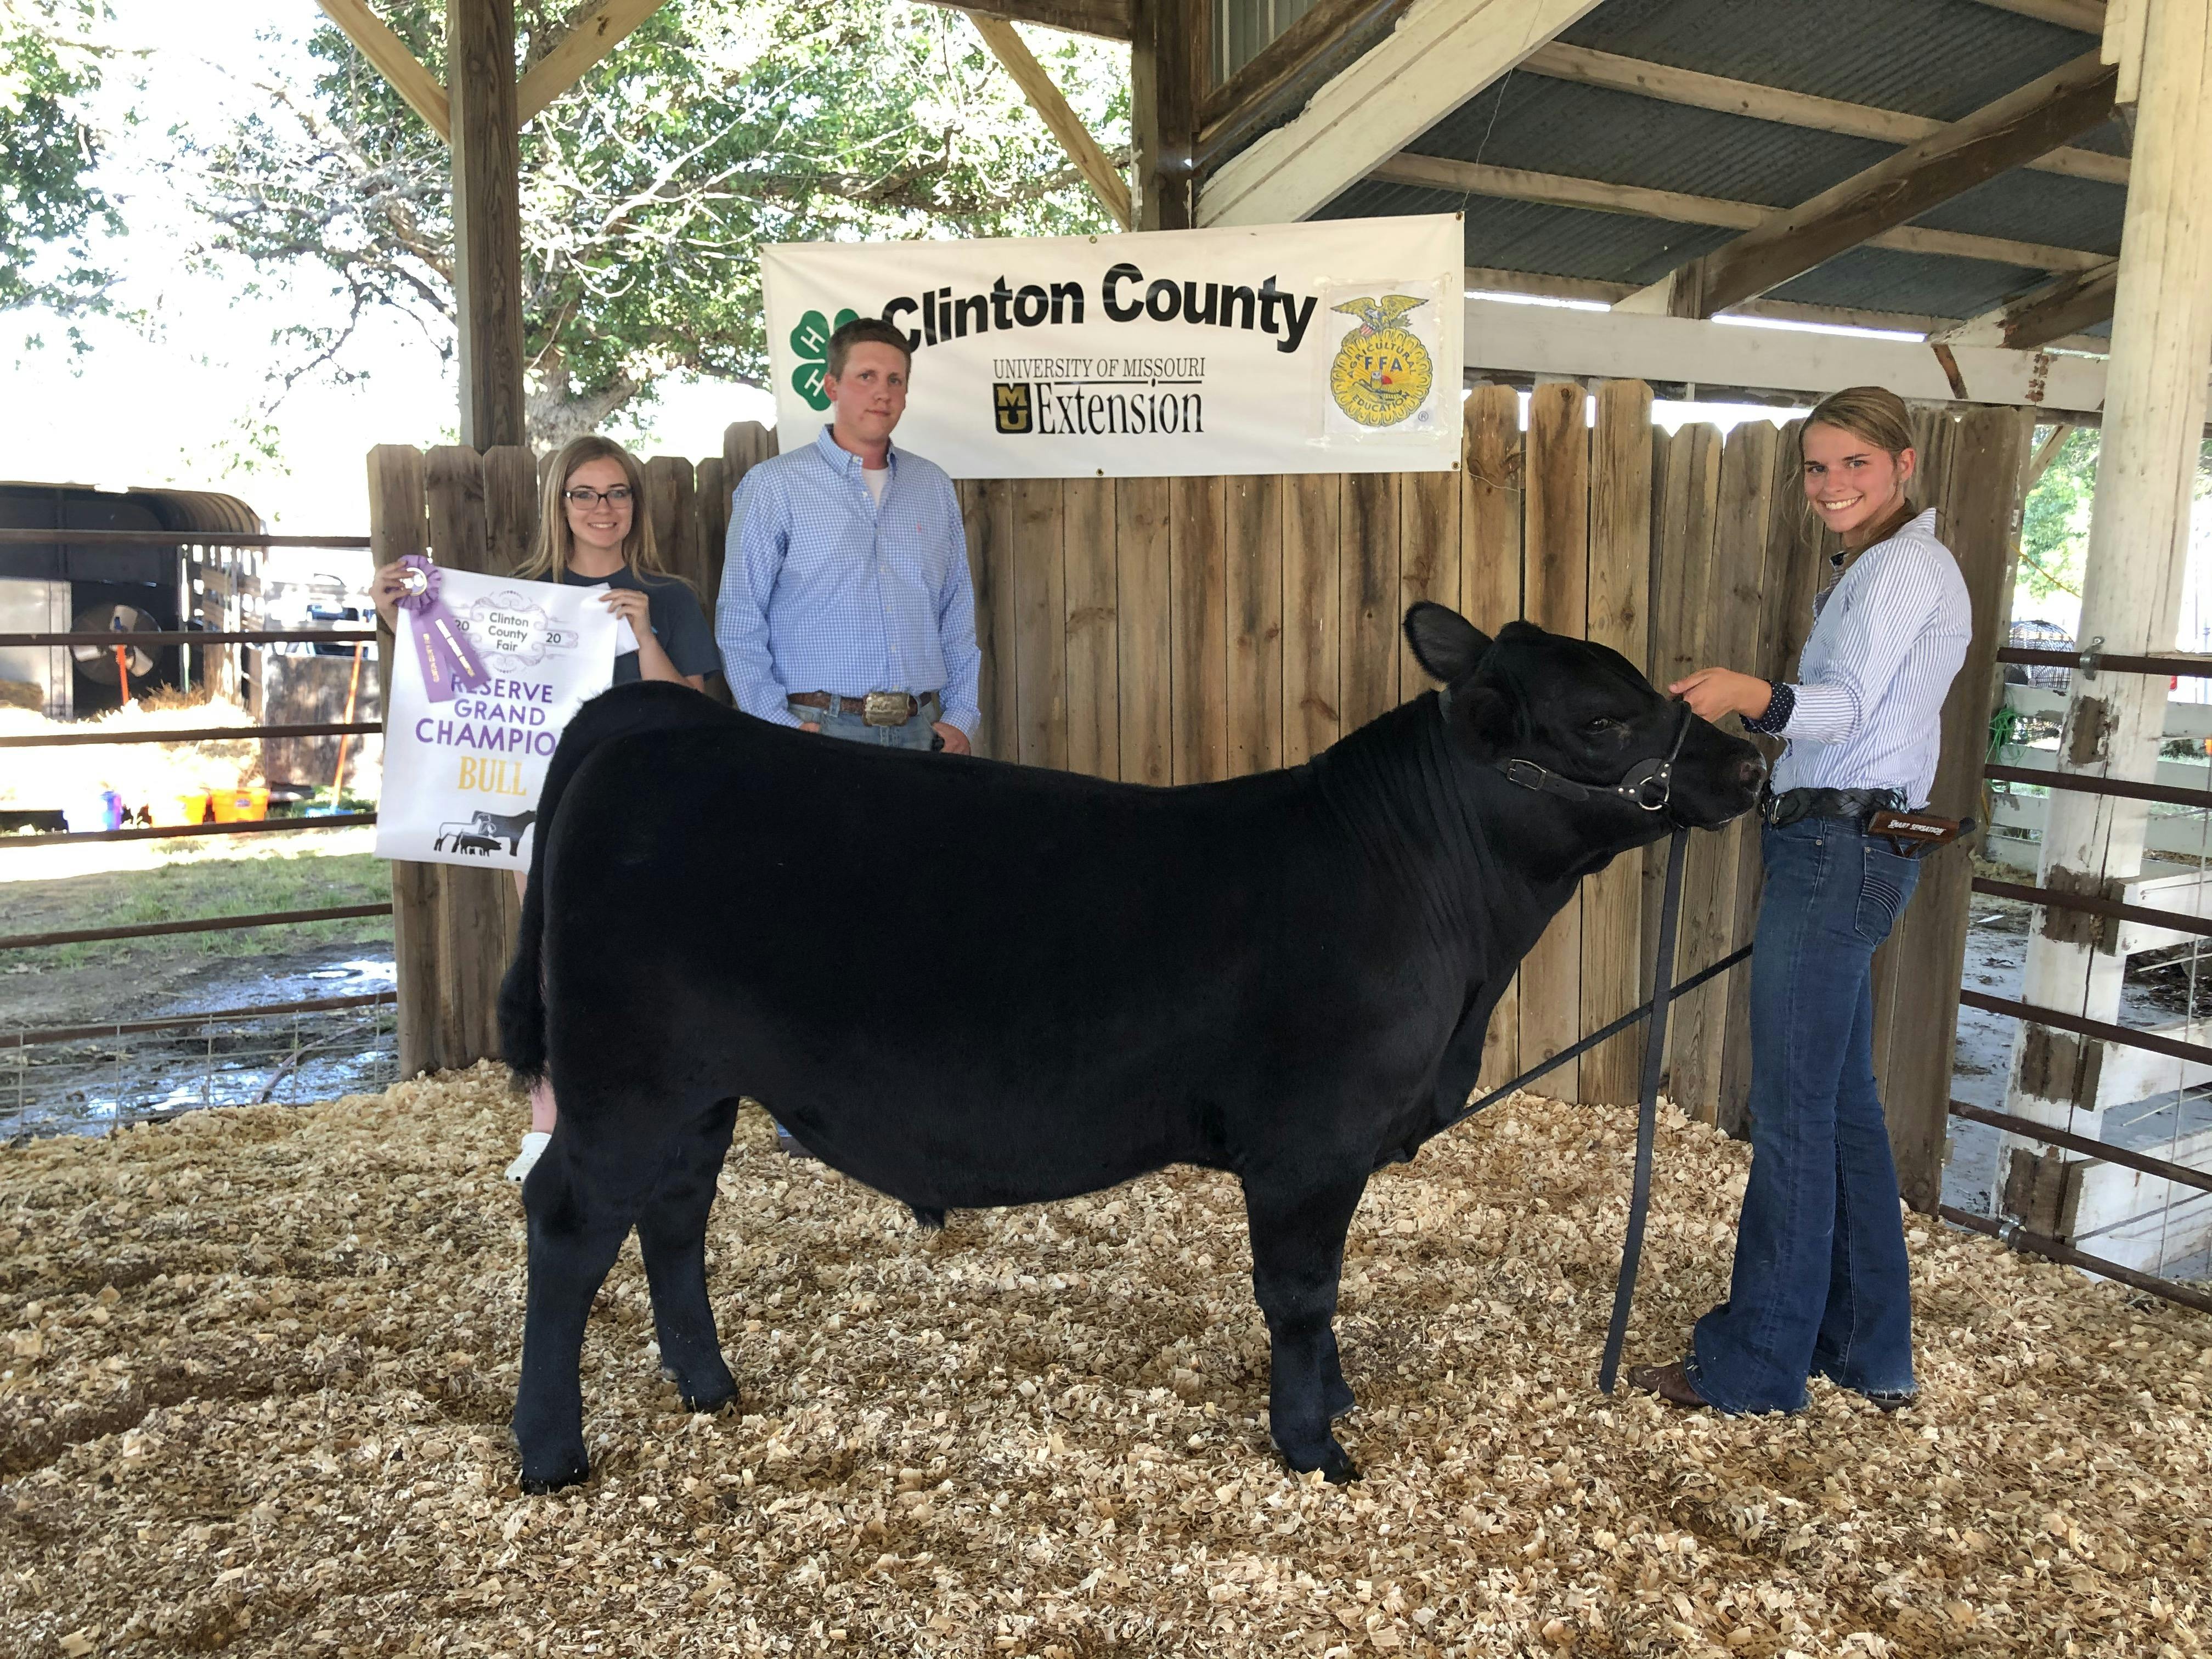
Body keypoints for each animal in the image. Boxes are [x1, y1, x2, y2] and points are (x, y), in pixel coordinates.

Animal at [502, 610, 1760, 1495]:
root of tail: (668, 723)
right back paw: (551, 1452)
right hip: (626, 1079)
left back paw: (708, 1386)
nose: (1748, 764)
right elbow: (1300, 1290)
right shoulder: (1309, 1145)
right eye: (1600, 720)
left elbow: (1321, 1292)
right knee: (570, 1222)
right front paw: (1314, 1441)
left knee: (674, 1212)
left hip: (697, 1089)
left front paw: (1338, 1400)